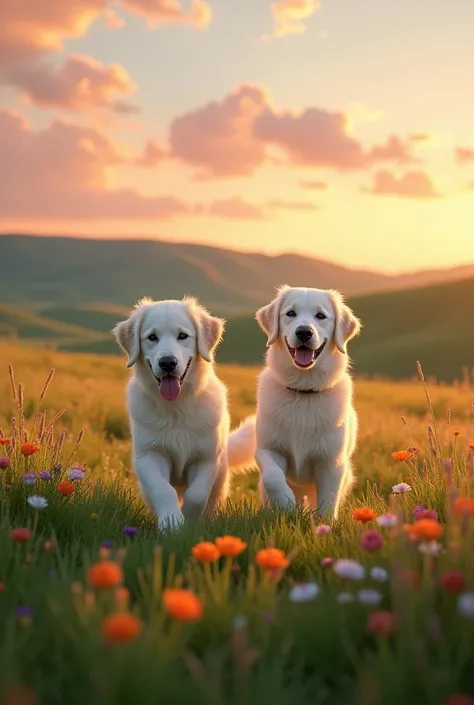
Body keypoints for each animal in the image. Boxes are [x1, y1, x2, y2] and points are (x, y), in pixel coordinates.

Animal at [113, 294, 256, 532]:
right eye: (152, 337)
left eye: (182, 336)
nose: (167, 362)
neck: (176, 407)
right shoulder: (149, 456)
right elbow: (163, 490)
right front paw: (171, 522)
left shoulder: (207, 459)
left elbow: (196, 496)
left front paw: (189, 524)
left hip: (220, 478)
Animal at [256, 284, 360, 520]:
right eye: (290, 313)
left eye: (320, 316)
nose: (304, 332)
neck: (304, 392)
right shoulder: (267, 448)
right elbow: (273, 477)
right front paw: (285, 503)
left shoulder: (331, 463)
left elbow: (327, 503)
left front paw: (325, 525)